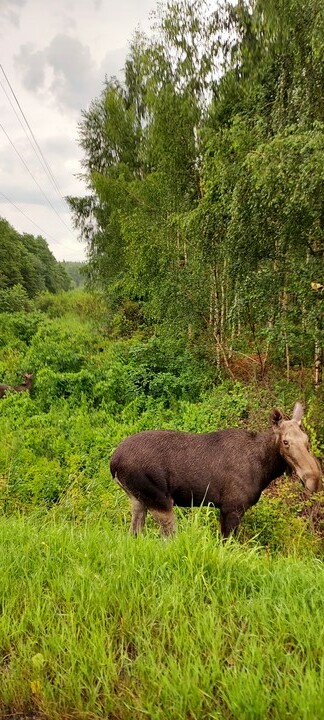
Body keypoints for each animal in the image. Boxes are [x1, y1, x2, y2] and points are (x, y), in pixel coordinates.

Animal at [110, 402, 322, 536]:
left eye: (307, 440)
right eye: (286, 442)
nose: (314, 480)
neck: (265, 471)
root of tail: (113, 464)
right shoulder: (232, 507)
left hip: (138, 499)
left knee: (133, 535)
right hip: (159, 500)